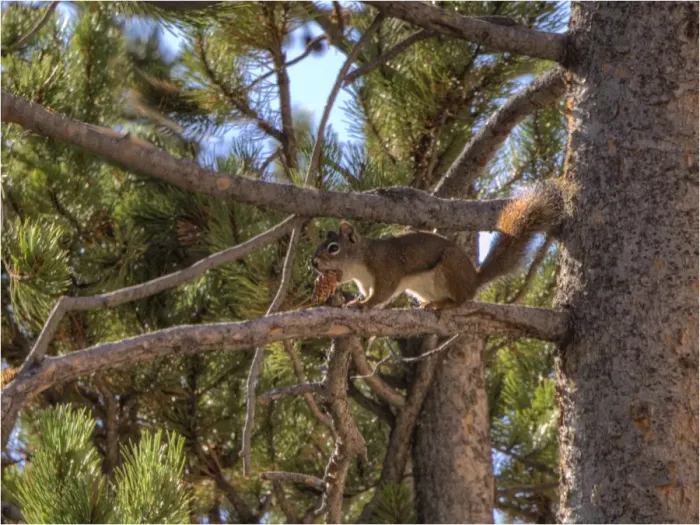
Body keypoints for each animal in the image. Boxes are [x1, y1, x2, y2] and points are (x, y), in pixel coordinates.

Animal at [311, 183, 564, 310]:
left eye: (333, 248)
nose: (313, 263)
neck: (362, 261)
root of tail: (473, 279)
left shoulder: (386, 269)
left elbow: (382, 294)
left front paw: (365, 304)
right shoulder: (365, 283)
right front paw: (356, 300)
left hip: (449, 270)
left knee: (461, 300)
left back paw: (444, 305)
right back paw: (432, 303)